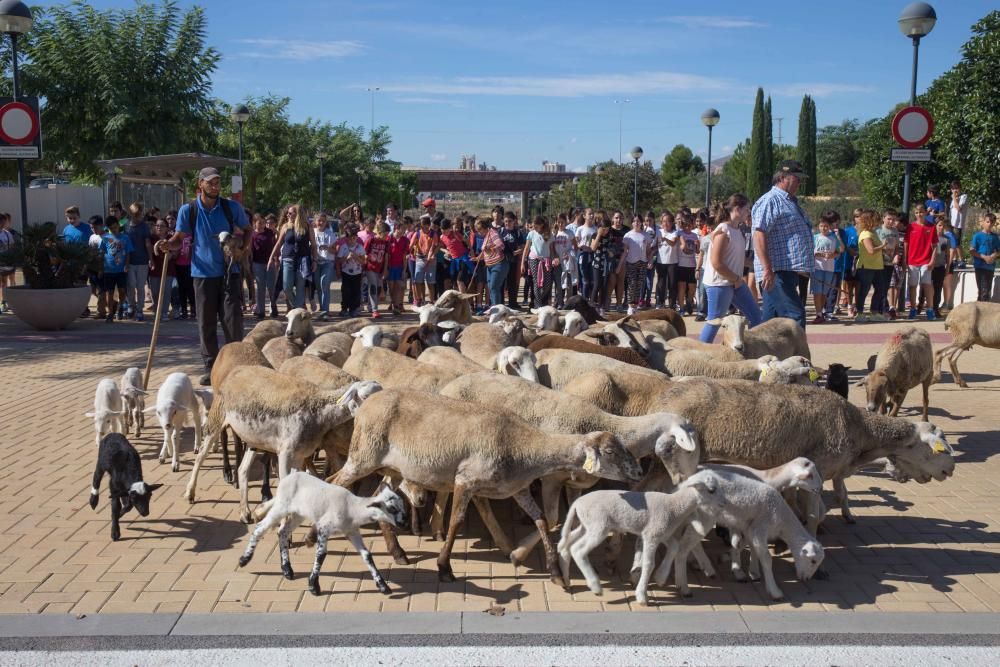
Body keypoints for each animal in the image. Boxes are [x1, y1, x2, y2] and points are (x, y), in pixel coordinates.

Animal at [182, 368, 380, 524]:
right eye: (364, 397)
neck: (318, 411)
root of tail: (236, 370)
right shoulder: (285, 453)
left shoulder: (299, 455)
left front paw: (260, 512)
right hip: (217, 417)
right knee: (200, 456)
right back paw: (190, 493)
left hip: (253, 440)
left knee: (243, 469)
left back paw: (244, 512)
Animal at [239, 472, 406, 596]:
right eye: (391, 508)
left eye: (402, 505)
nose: (404, 522)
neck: (352, 508)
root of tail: (289, 476)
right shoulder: (323, 527)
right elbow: (321, 555)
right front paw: (314, 586)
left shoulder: (352, 532)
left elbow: (367, 555)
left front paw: (383, 586)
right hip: (281, 506)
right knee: (260, 528)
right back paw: (244, 560)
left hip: (298, 513)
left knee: (283, 532)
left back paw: (287, 570)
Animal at [328, 392, 640, 584]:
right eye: (610, 451)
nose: (638, 472)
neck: (523, 448)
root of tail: (366, 403)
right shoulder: (466, 480)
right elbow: (456, 522)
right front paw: (444, 567)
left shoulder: (517, 488)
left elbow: (541, 520)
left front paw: (554, 573)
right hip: (363, 455)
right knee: (334, 483)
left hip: (392, 467)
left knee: (377, 495)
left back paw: (398, 553)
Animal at [560, 478, 724, 608]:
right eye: (711, 490)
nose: (723, 504)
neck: (674, 505)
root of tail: (577, 503)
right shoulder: (651, 534)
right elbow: (649, 564)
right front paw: (642, 596)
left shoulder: (662, 533)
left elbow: (674, 547)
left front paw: (660, 578)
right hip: (599, 525)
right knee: (578, 550)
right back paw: (595, 586)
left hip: (586, 525)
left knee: (565, 545)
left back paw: (566, 580)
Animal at [652, 378, 956, 524]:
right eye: (938, 449)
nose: (950, 470)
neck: (861, 431)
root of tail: (664, 396)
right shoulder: (819, 467)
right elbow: (813, 512)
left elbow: (825, 497)